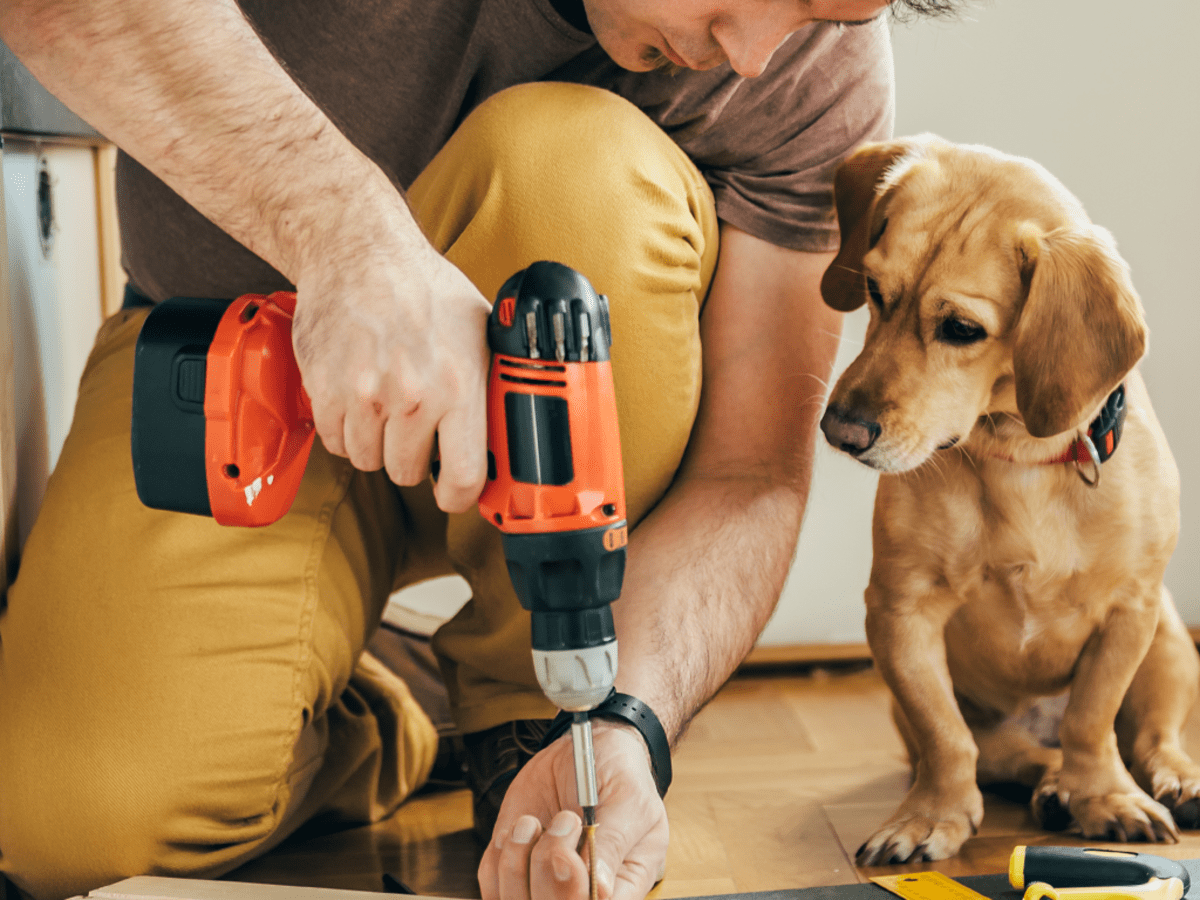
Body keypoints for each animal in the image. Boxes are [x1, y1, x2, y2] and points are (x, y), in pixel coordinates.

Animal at [820, 135, 1200, 868]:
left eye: (962, 329)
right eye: (875, 291)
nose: (840, 430)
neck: (1020, 458)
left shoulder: (1130, 612)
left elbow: (1091, 720)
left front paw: (1105, 796)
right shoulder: (899, 613)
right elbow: (945, 738)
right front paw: (931, 816)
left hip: (1170, 641)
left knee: (1152, 738)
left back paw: (1175, 782)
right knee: (1013, 757)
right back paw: (1051, 788)